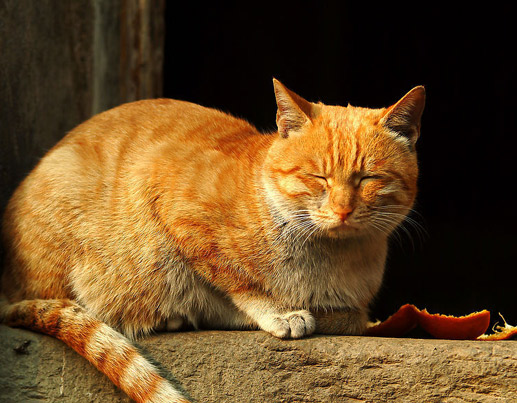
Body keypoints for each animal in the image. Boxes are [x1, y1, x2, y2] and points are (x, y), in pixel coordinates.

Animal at [1, 79, 424, 403]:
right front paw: (280, 313)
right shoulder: (171, 202)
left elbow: (354, 316)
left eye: (368, 179)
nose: (342, 210)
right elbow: (236, 283)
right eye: (317, 177)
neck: (332, 257)